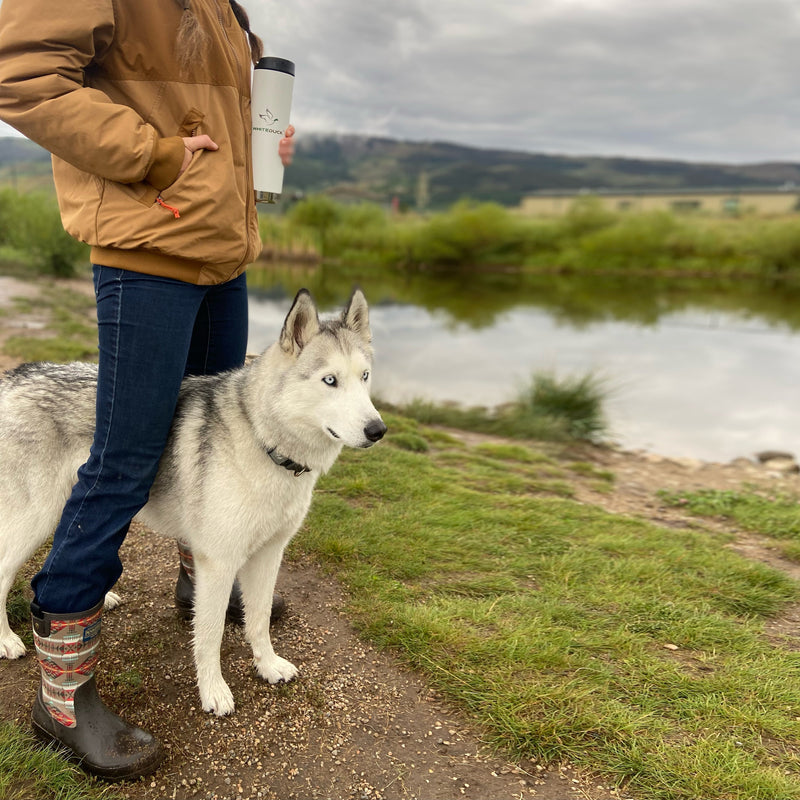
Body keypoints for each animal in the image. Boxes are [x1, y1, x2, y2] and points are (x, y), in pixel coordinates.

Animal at [0, 290, 384, 716]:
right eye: (330, 380)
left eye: (364, 377)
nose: (378, 430)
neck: (264, 440)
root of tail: (20, 374)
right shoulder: (218, 563)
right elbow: (210, 634)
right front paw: (213, 691)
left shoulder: (269, 554)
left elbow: (259, 618)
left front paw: (267, 665)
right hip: (35, 519)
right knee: (3, 572)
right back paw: (7, 640)